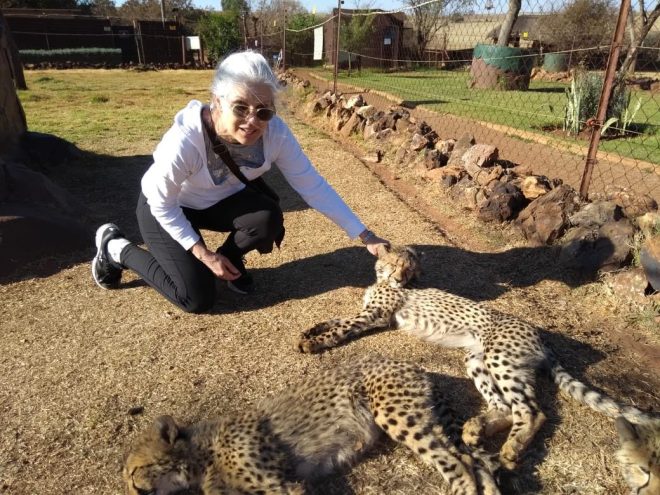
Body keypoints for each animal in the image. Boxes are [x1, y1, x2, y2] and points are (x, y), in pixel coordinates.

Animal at [123, 356, 501, 495]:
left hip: (396, 415)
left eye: (133, 472)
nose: (131, 491)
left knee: (456, 462)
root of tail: (406, 362)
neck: (203, 456)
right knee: (472, 460)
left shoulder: (281, 487)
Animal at [297, 244, 658, 471]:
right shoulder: (371, 314)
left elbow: (343, 326)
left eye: (410, 271)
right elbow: (337, 320)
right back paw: (476, 429)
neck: (384, 282)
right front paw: (311, 331)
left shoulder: (377, 316)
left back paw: (511, 449)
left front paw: (316, 343)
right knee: (505, 407)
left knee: (532, 410)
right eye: (399, 266)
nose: (401, 279)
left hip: (500, 358)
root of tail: (539, 335)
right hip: (476, 360)